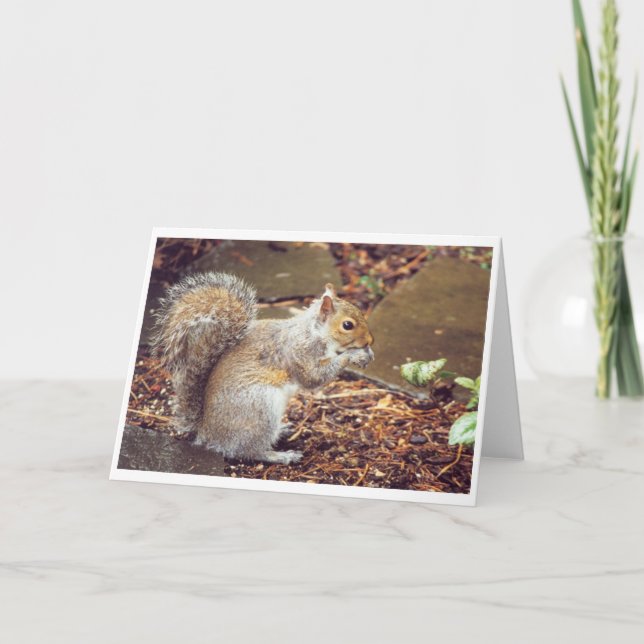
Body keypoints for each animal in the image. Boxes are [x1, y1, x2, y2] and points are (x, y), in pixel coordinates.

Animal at [151, 272, 375, 464]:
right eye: (347, 325)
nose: (370, 340)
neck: (314, 332)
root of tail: (207, 433)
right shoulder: (300, 352)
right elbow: (314, 378)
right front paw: (353, 355)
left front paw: (368, 352)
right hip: (260, 409)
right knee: (249, 451)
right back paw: (281, 456)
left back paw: (282, 430)